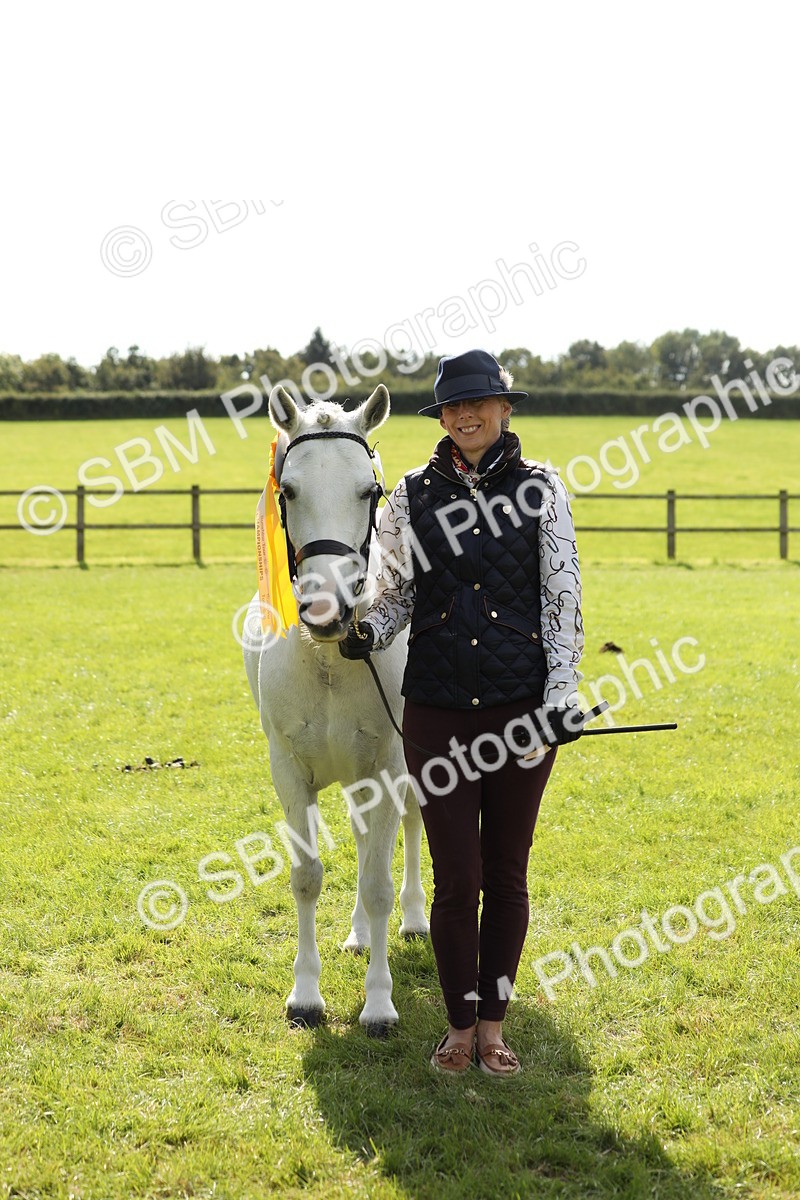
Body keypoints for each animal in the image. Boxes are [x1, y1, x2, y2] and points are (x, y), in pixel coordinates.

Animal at [243, 383, 428, 1036]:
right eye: (290, 490)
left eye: (368, 491)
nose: (326, 609)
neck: (326, 656)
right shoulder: (289, 772)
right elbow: (307, 876)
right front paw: (305, 997)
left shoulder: (390, 765)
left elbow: (377, 882)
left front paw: (378, 1004)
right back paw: (356, 936)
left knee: (408, 829)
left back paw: (414, 920)